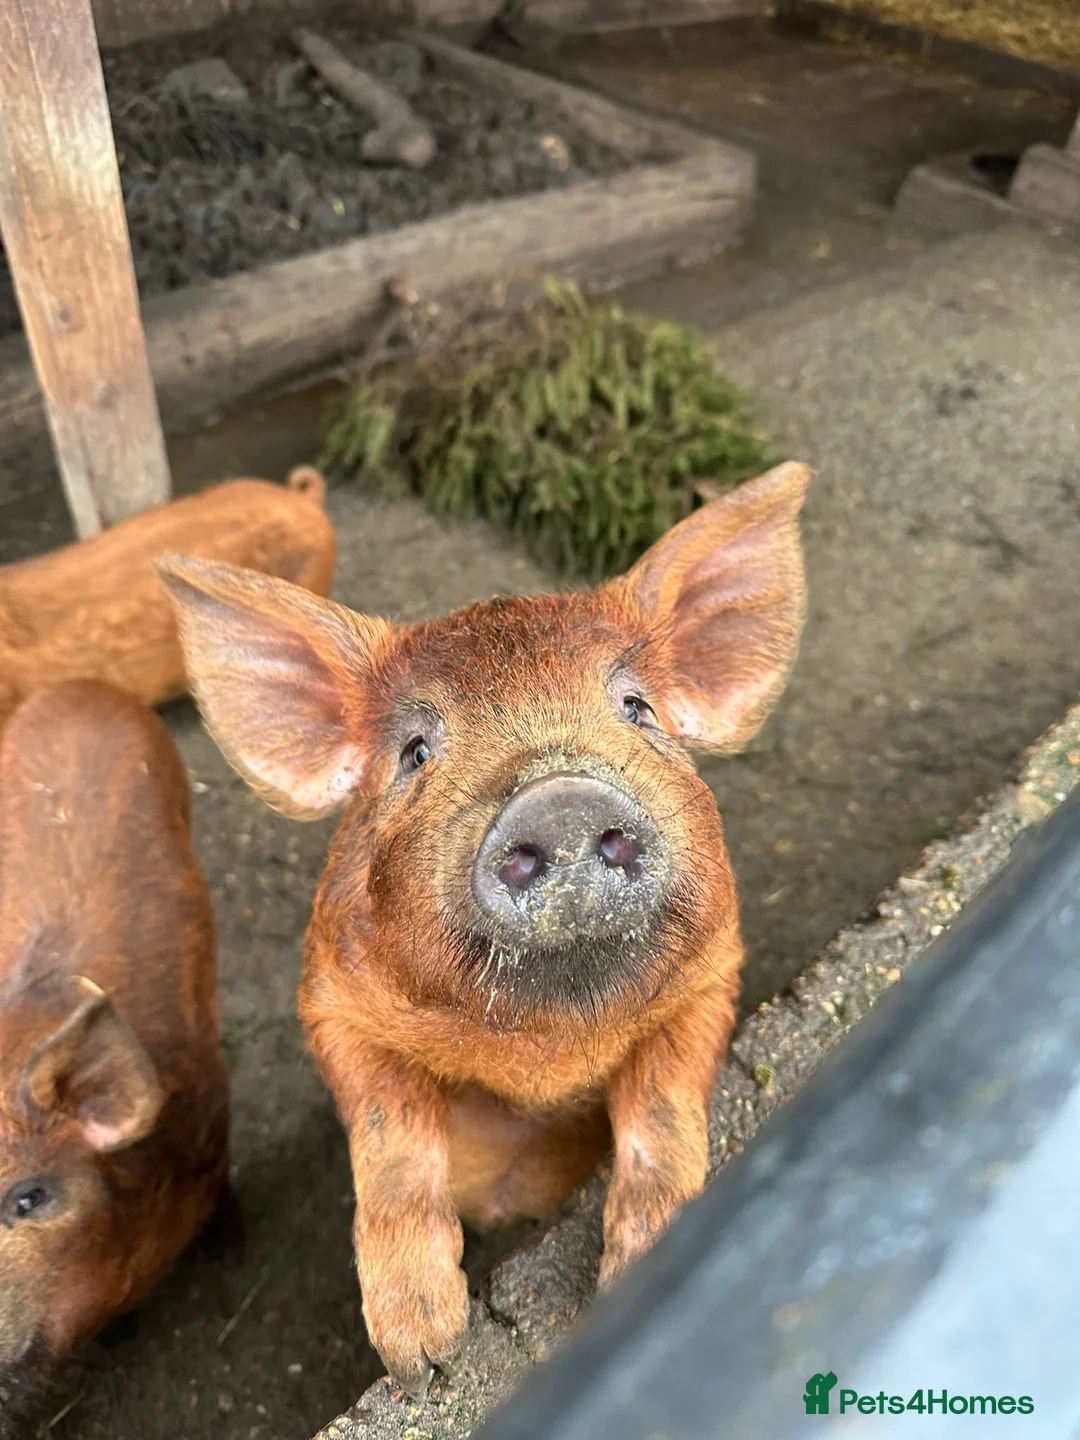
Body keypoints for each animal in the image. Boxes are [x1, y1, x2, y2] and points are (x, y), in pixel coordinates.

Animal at [157, 459, 812, 1392]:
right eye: (415, 753)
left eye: (637, 708)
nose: (560, 795)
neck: (542, 1047)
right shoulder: (330, 999)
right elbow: (391, 1143)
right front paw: (423, 1359)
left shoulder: (714, 970)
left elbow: (663, 1110)